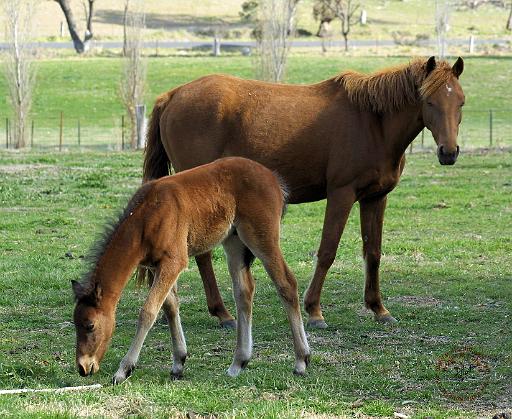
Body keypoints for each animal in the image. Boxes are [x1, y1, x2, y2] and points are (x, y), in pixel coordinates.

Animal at [72, 158, 310, 384]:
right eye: (75, 323)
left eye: (90, 325)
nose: (83, 367)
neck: (146, 217)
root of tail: (274, 179)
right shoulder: (157, 266)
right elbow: (170, 306)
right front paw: (179, 363)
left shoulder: (174, 262)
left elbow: (148, 311)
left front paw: (123, 370)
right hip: (234, 242)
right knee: (244, 292)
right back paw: (238, 363)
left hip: (261, 237)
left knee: (287, 283)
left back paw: (301, 361)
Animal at [143, 56, 464, 332]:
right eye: (429, 101)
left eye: (460, 102)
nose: (448, 153)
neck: (372, 122)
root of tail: (173, 95)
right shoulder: (341, 195)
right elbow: (327, 251)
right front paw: (314, 311)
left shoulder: (375, 198)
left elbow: (372, 252)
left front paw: (378, 308)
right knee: (203, 255)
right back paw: (222, 313)